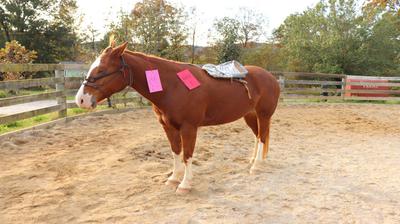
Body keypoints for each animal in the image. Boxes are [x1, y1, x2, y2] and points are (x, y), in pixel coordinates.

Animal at [76, 42, 282, 194]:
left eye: (102, 70)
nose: (81, 99)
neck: (172, 86)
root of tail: (271, 77)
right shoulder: (168, 127)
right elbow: (176, 152)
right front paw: (174, 178)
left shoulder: (189, 128)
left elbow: (187, 154)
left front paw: (185, 184)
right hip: (250, 115)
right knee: (258, 136)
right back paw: (253, 160)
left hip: (263, 115)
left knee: (262, 137)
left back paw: (256, 166)